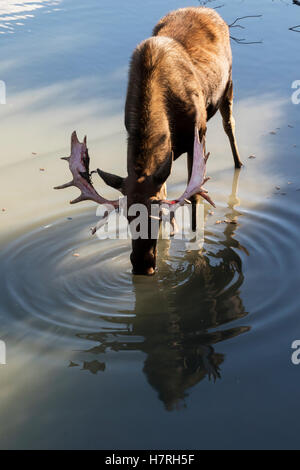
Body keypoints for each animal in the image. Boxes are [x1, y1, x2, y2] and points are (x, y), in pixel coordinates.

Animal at [54, 6, 241, 276]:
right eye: (127, 216)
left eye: (157, 215)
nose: (142, 266)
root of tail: (206, 9)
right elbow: (165, 188)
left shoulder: (199, 133)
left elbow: (195, 198)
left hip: (228, 85)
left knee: (230, 125)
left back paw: (239, 164)